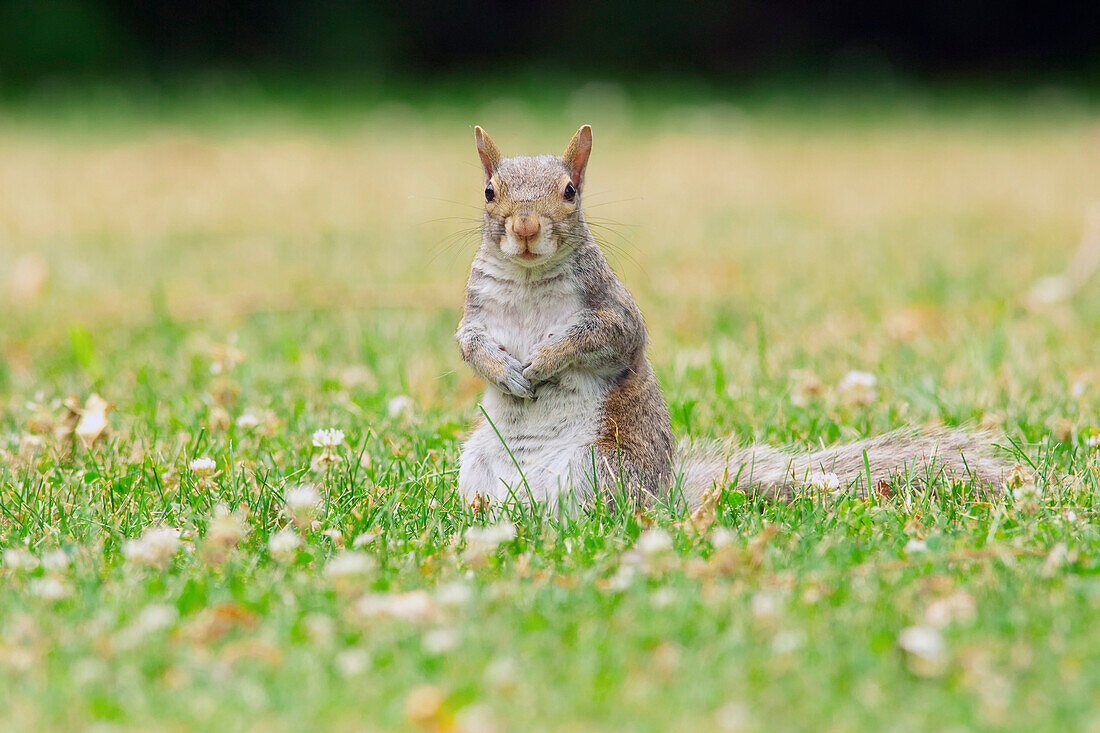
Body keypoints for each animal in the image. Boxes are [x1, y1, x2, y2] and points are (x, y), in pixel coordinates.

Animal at [453, 124, 1007, 508]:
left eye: (570, 191)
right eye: (489, 192)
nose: (526, 227)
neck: (530, 278)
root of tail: (666, 498)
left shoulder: (613, 311)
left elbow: (597, 337)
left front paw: (543, 361)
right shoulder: (475, 313)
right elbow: (471, 345)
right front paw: (505, 372)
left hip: (602, 467)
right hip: (477, 464)